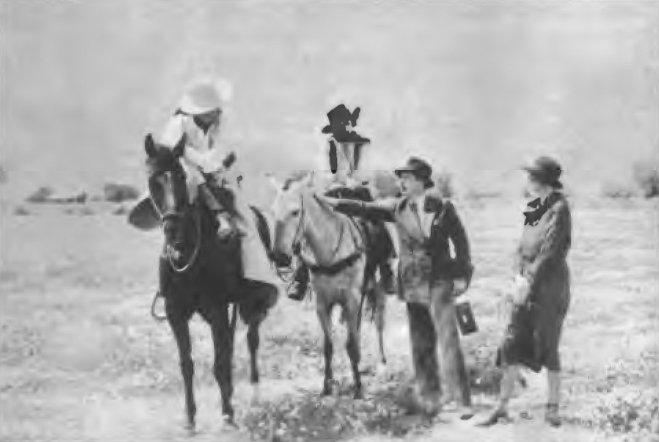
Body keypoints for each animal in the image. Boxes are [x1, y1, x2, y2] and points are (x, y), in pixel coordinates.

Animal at [141, 134, 278, 428]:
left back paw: (254, 392)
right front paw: (190, 418)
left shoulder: (216, 308)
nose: (172, 229)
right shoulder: (175, 312)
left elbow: (220, 361)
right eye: (153, 180)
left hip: (250, 305)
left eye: (181, 176)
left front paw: (227, 412)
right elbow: (187, 364)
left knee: (251, 341)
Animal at [270, 173, 390, 398]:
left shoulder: (351, 299)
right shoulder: (323, 304)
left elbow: (351, 344)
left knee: (379, 323)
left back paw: (382, 362)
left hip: (377, 292)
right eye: (273, 213)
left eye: (295, 212)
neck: (329, 251)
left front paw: (358, 387)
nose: (279, 257)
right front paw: (327, 385)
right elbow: (328, 345)